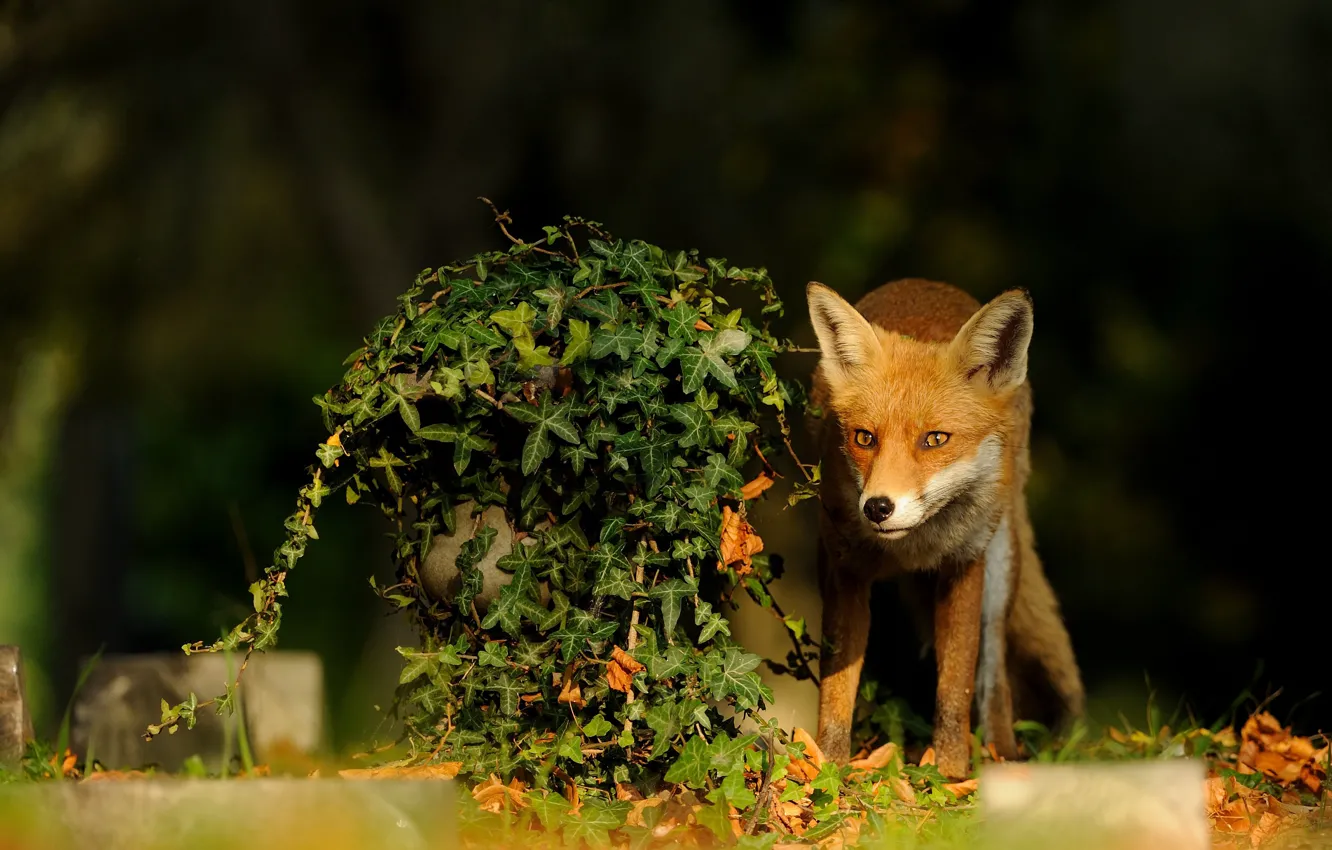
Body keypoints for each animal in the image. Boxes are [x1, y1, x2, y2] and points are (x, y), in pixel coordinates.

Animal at [806, 278, 1084, 779]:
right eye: (864, 438)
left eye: (935, 439)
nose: (877, 507)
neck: (913, 548)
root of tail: (927, 282)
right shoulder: (844, 570)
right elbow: (838, 683)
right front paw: (827, 767)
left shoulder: (964, 566)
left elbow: (956, 687)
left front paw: (951, 773)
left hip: (1001, 563)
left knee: (994, 672)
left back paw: (1000, 753)